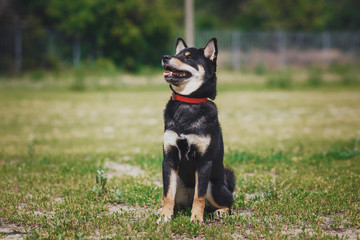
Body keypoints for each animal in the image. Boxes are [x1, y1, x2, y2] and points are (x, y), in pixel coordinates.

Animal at [159, 38, 235, 222]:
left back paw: (220, 212)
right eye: (177, 54)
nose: (165, 57)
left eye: (188, 58)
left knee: (229, 203)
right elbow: (167, 194)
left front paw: (196, 219)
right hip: (179, 180)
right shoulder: (169, 158)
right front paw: (164, 217)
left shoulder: (204, 161)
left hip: (213, 185)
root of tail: (226, 184)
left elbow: (199, 196)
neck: (187, 102)